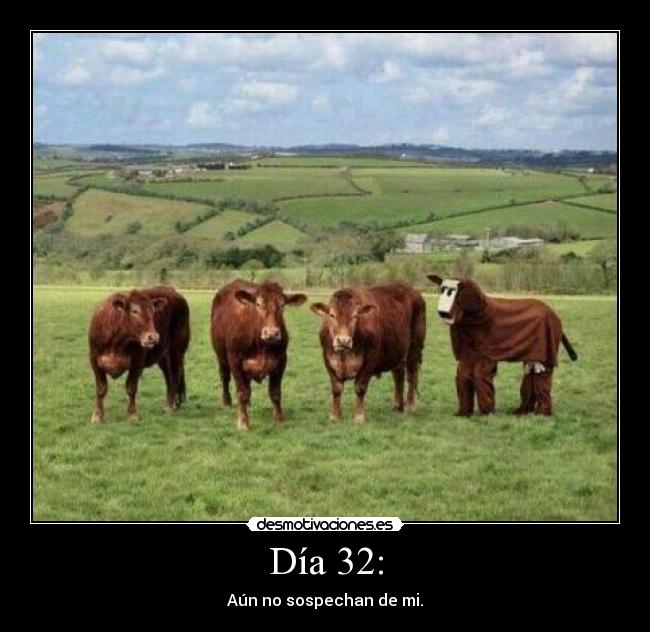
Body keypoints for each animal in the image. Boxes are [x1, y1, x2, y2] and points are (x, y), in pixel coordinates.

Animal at [88, 286, 190, 424]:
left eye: (153, 311)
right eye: (135, 311)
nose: (153, 337)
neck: (116, 340)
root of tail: (173, 291)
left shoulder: (137, 362)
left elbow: (131, 388)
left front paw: (132, 414)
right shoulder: (95, 361)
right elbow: (101, 389)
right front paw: (97, 416)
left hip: (177, 350)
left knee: (175, 375)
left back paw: (170, 405)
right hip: (164, 355)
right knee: (168, 376)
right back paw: (169, 404)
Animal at [211, 280, 307, 430]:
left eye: (282, 305)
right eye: (258, 304)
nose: (272, 333)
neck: (262, 346)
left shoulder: (281, 361)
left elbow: (275, 392)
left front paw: (279, 418)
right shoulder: (235, 361)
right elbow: (242, 392)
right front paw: (243, 421)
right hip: (221, 356)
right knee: (225, 377)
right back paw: (227, 402)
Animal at [310, 282, 426, 423]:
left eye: (355, 316)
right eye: (332, 315)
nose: (343, 341)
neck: (344, 356)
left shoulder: (369, 360)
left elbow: (360, 387)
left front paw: (359, 416)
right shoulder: (328, 360)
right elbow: (336, 388)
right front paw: (334, 415)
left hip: (415, 348)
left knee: (412, 375)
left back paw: (410, 405)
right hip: (397, 351)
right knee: (398, 376)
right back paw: (397, 406)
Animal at [427, 275, 578, 416]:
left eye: (453, 292)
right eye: (441, 290)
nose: (443, 313)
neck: (481, 312)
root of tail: (554, 316)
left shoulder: (487, 354)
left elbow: (481, 375)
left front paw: (487, 413)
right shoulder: (468, 354)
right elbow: (463, 375)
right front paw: (463, 414)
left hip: (545, 352)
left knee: (543, 375)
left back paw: (543, 413)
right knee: (531, 373)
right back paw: (522, 411)